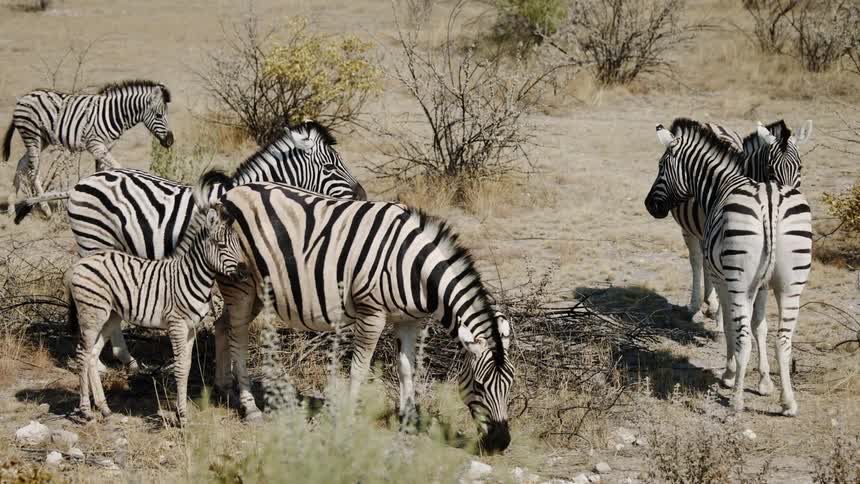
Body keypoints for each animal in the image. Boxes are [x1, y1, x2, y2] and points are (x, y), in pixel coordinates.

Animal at [2, 80, 174, 216]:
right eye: (159, 115)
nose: (170, 141)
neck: (114, 114)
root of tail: (25, 96)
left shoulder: (105, 148)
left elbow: (102, 173)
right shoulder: (96, 146)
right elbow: (118, 167)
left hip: (42, 140)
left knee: (21, 163)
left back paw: (11, 209)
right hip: (32, 135)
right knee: (32, 171)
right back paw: (45, 209)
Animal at [67, 195, 248, 426]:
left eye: (238, 244)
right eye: (221, 244)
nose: (245, 273)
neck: (191, 276)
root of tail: (81, 261)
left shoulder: (191, 328)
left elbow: (186, 366)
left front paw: (181, 412)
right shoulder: (176, 324)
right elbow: (179, 369)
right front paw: (182, 416)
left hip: (109, 316)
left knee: (91, 355)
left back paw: (104, 408)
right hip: (92, 314)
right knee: (82, 354)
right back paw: (85, 411)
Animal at [213, 180, 515, 452]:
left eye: (510, 384)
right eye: (479, 385)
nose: (501, 443)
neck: (415, 269)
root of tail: (231, 192)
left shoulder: (409, 320)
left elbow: (407, 368)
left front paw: (410, 420)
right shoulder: (372, 314)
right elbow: (359, 368)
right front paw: (347, 417)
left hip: (254, 291)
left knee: (222, 325)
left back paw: (223, 389)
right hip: (240, 284)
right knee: (239, 337)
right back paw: (249, 407)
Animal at [672, 120, 812, 322]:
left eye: (800, 167)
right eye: (770, 169)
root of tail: (708, 123)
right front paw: (721, 316)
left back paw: (710, 303)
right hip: (689, 228)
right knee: (697, 261)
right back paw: (696, 305)